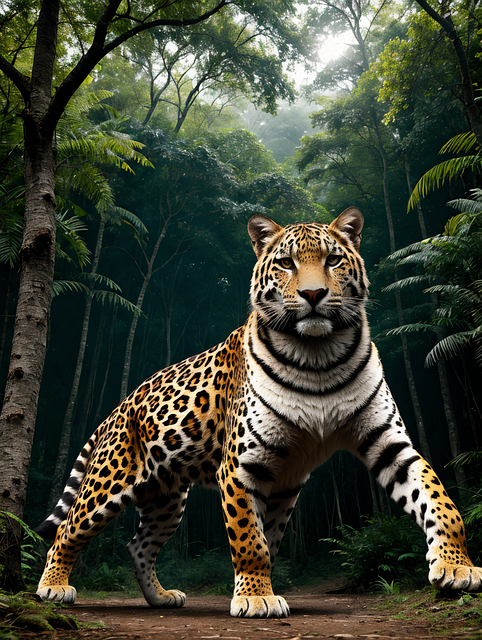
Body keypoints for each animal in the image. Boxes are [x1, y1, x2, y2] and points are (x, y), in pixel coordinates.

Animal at [36, 207, 482, 617]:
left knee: (137, 545)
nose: (314, 294)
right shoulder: (240, 465)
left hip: (166, 500)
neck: (319, 358)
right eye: (286, 263)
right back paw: (53, 587)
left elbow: (440, 501)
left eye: (333, 259)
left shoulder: (389, 444)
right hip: (106, 485)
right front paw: (256, 597)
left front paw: (458, 567)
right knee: (68, 531)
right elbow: (249, 539)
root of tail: (117, 408)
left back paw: (160, 597)